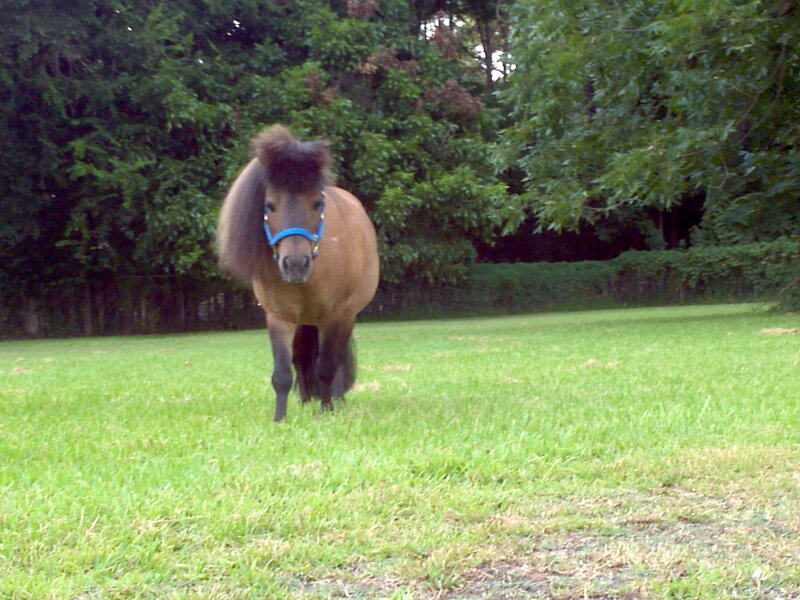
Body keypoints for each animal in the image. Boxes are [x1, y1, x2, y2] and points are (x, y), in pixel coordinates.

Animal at [216, 125, 379, 422]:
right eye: (269, 205)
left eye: (317, 204)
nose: (294, 264)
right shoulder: (279, 318)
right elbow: (282, 373)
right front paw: (280, 418)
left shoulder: (334, 316)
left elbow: (326, 366)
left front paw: (326, 410)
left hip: (347, 317)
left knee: (336, 359)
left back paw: (335, 398)